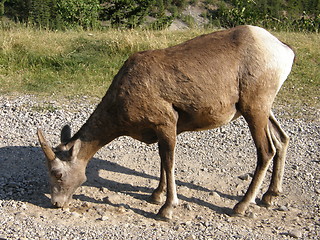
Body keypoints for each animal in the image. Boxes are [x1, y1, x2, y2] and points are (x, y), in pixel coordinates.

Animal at [37, 25, 296, 220]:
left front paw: (166, 209)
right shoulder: (165, 129)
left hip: (255, 107)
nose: (56, 204)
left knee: (266, 150)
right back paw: (270, 197)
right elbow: (162, 161)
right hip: (262, 108)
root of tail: (284, 50)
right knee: (282, 139)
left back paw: (241, 206)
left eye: (57, 173)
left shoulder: (166, 124)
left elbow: (169, 163)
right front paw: (156, 195)